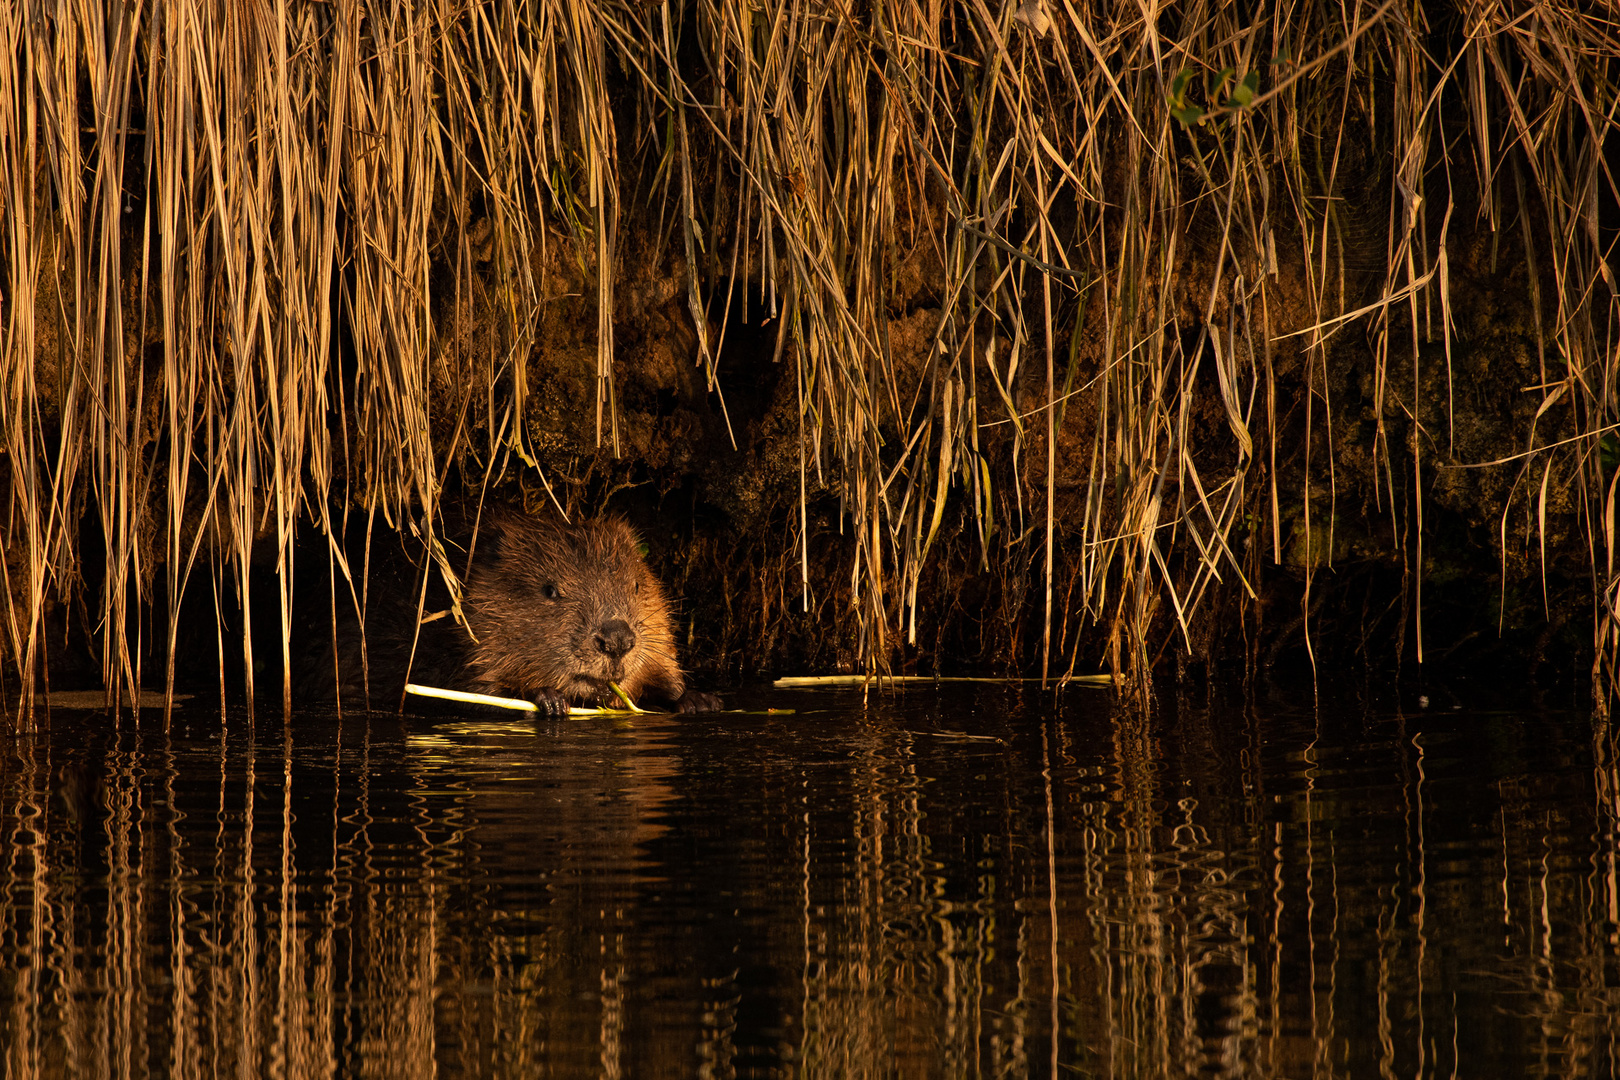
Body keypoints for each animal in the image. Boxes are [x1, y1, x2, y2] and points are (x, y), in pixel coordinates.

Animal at [298, 518, 716, 718]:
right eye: (550, 590)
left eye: (636, 584)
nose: (616, 639)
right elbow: (475, 692)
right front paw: (549, 699)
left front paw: (698, 700)